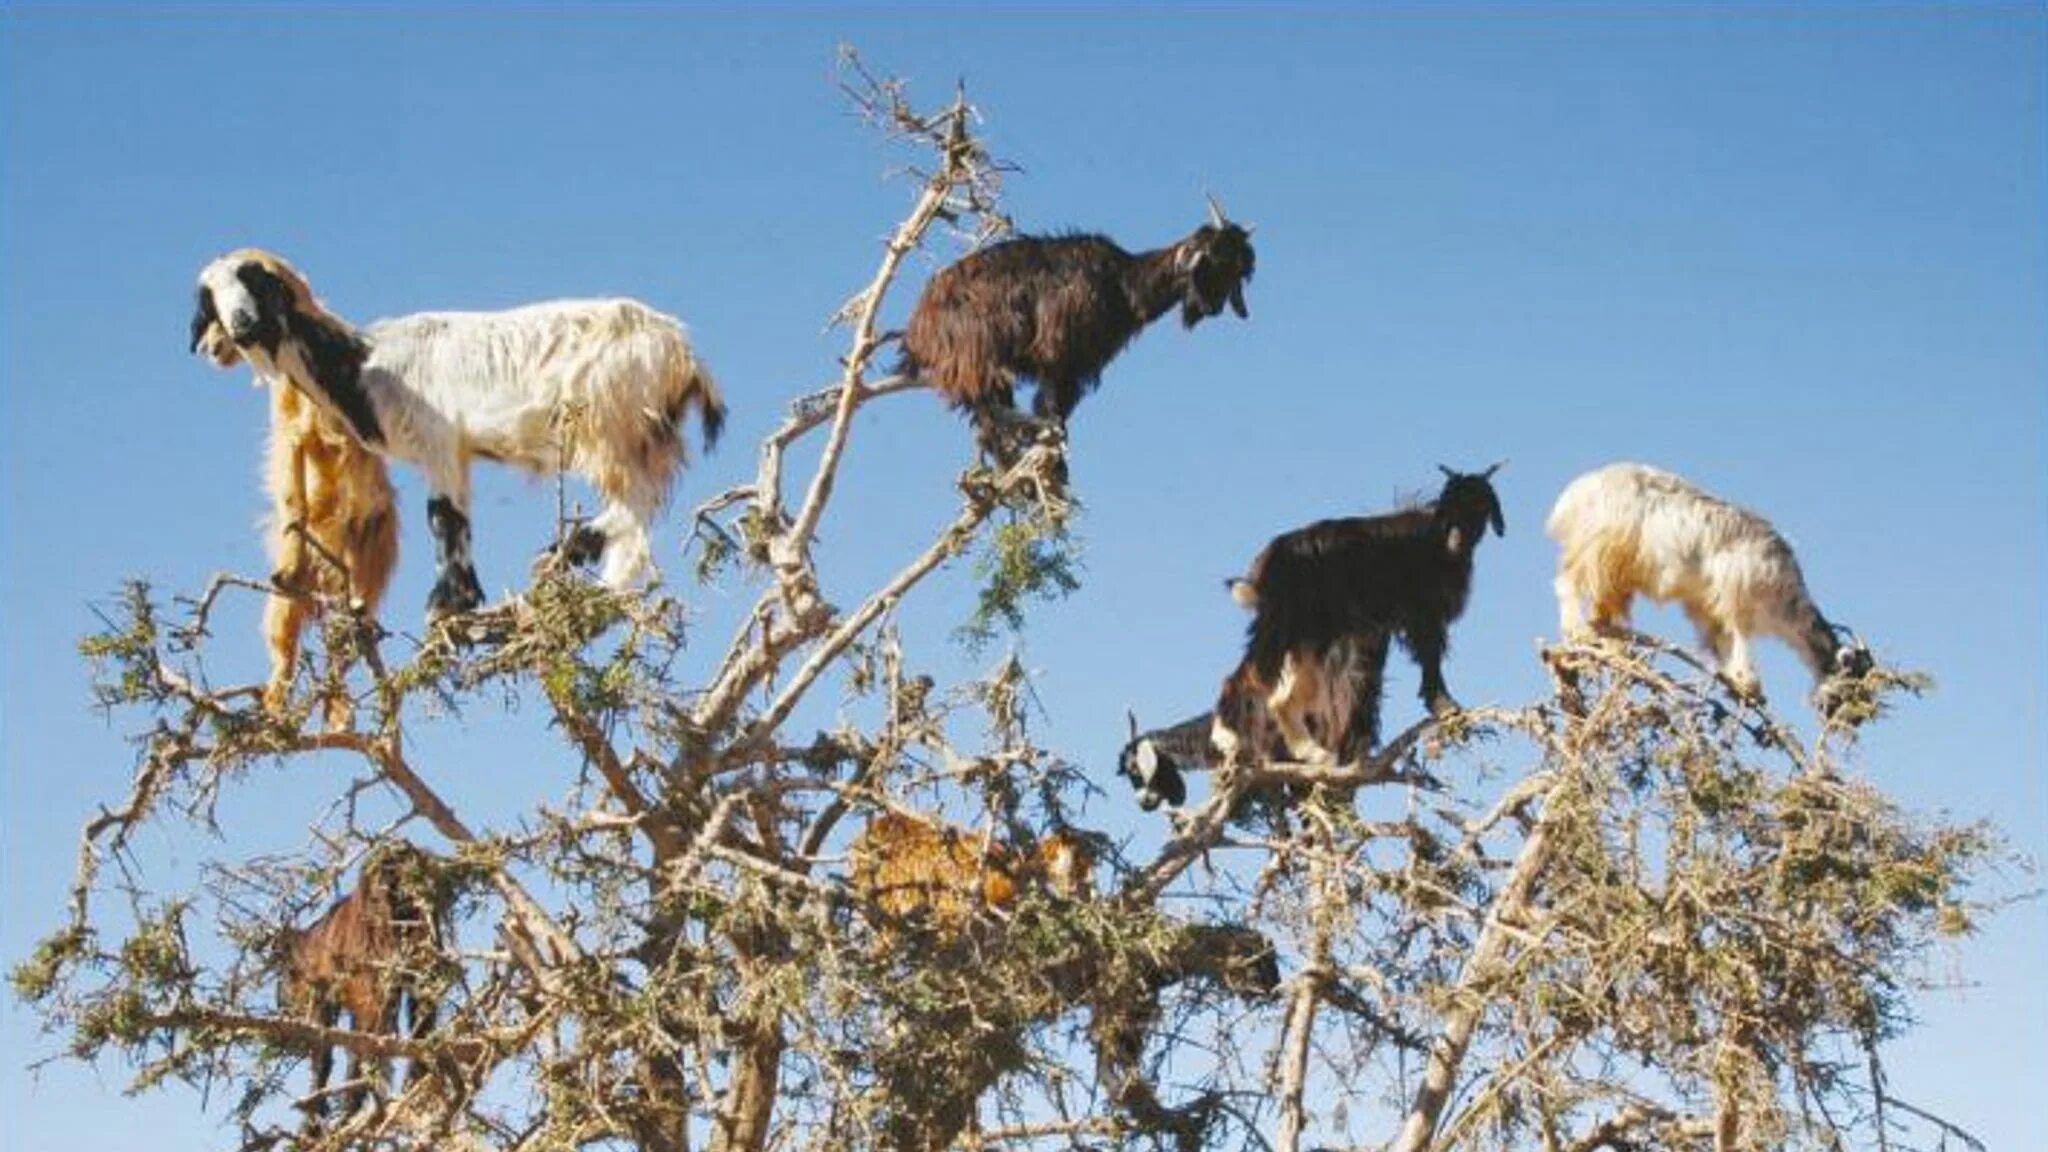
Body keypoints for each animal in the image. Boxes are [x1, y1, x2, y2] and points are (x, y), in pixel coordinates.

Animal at [192, 251, 720, 619]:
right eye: (210, 297)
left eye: (256, 282)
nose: (241, 326)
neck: (363, 363)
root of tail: (684, 354)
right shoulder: (457, 453)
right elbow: (455, 517)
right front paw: (460, 599)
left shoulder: (438, 443)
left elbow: (442, 518)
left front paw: (447, 605)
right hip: (640, 435)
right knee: (640, 510)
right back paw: (597, 579)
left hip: (612, 424)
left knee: (638, 500)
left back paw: (570, 556)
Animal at [276, 832, 452, 1123]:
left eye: (284, 979)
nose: (281, 1005)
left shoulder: (332, 996)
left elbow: (325, 1053)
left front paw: (317, 1108)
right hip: (423, 960)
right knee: (421, 1022)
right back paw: (416, 1078)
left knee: (371, 1044)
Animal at [905, 196, 1253, 461]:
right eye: (1213, 261)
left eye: (1240, 271)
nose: (1212, 308)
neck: (1124, 283)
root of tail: (920, 322)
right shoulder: (1058, 355)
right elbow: (1051, 407)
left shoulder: (1078, 365)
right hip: (978, 357)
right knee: (989, 414)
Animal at [1220, 461, 1515, 758]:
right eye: (1449, 504)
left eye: (1481, 505)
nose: (1456, 539)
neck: (1435, 542)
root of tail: (1265, 564)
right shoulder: (1423, 613)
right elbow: (1430, 658)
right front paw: (1446, 707)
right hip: (1285, 624)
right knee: (1246, 677)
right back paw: (1227, 737)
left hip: (1308, 633)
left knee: (1281, 697)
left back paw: (1314, 752)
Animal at [1548, 459, 1875, 709]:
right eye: (1850, 681)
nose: (1839, 716)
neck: (1786, 598)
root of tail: (1577, 492)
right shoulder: (1737, 591)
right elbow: (1739, 632)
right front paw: (1750, 684)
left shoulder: (1705, 606)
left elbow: (1720, 640)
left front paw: (1737, 684)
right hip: (1597, 549)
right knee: (1567, 584)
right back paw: (1577, 632)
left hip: (1615, 571)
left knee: (1604, 608)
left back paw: (1614, 649)